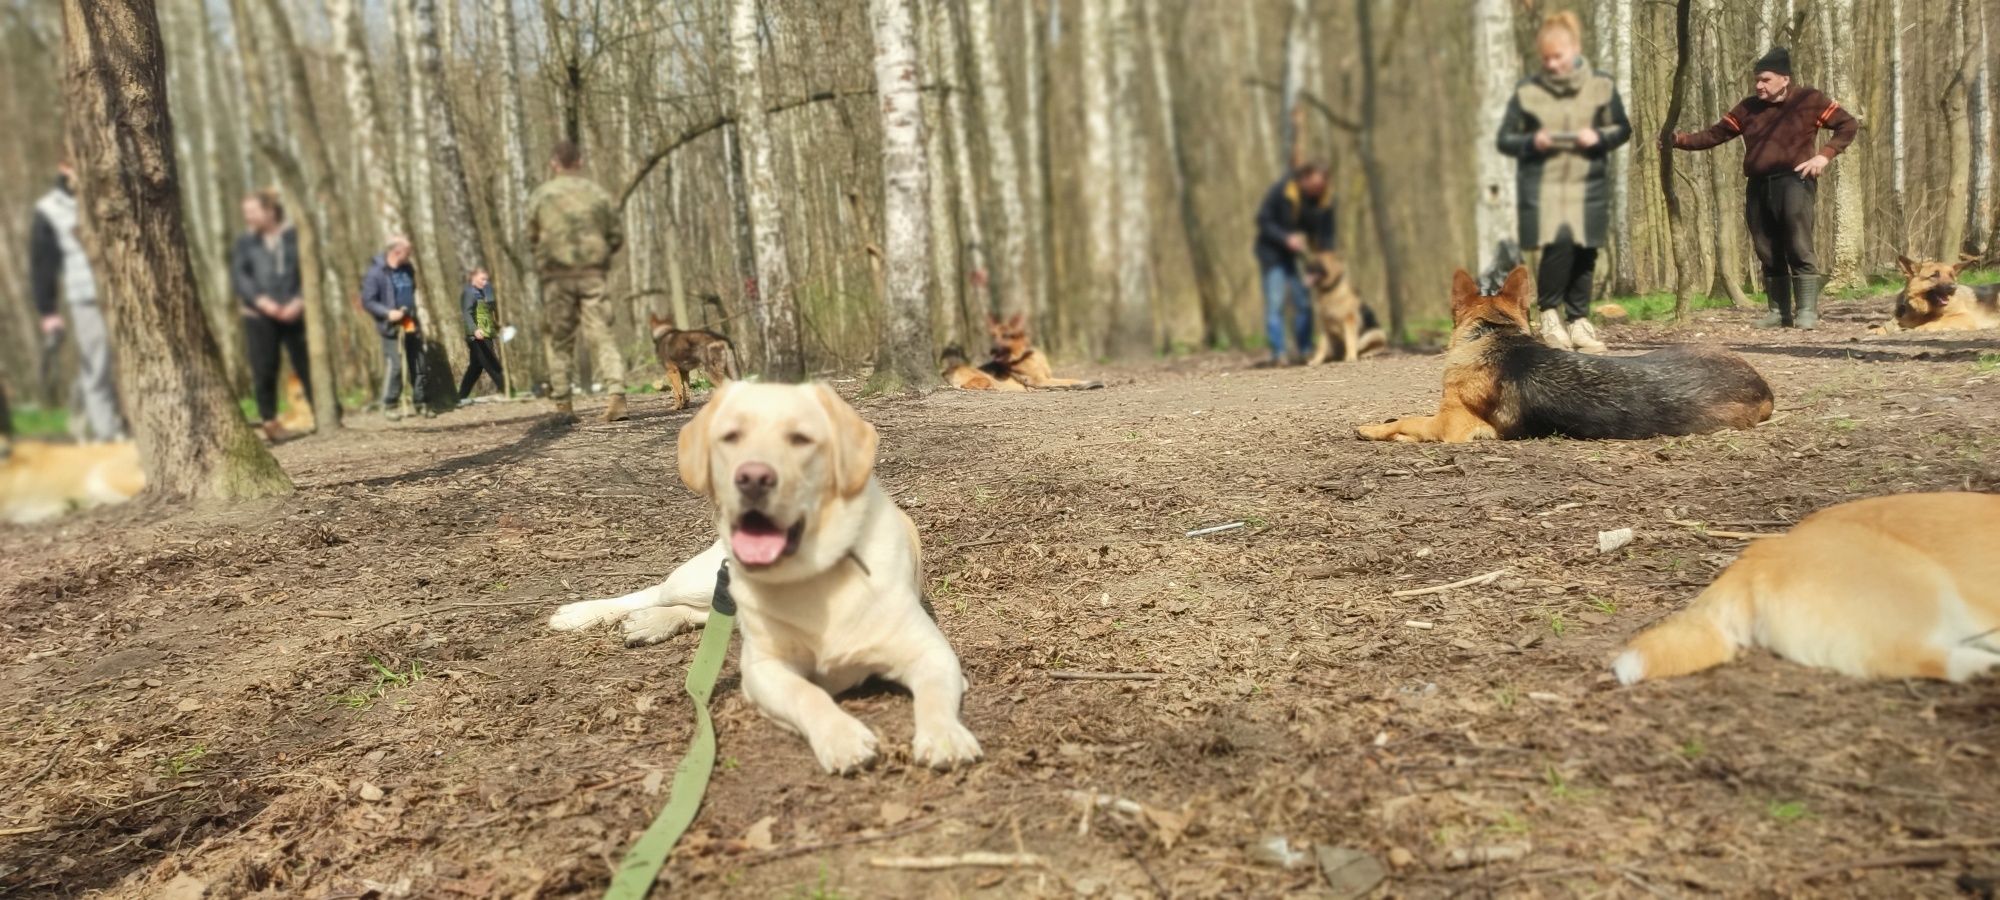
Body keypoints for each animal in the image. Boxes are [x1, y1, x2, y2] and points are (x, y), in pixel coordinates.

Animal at [548, 380, 984, 772]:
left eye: (801, 438)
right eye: (730, 437)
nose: (753, 477)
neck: (812, 577)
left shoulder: (933, 653)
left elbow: (933, 696)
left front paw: (945, 737)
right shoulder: (763, 671)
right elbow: (808, 694)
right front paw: (840, 737)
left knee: (699, 613)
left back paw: (650, 624)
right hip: (703, 577)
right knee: (658, 591)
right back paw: (580, 614)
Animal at [1872, 255, 2000, 332]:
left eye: (1951, 276)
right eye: (1934, 275)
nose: (1954, 288)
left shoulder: (1964, 316)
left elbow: (1939, 321)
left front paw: (1923, 327)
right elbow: (1882, 329)